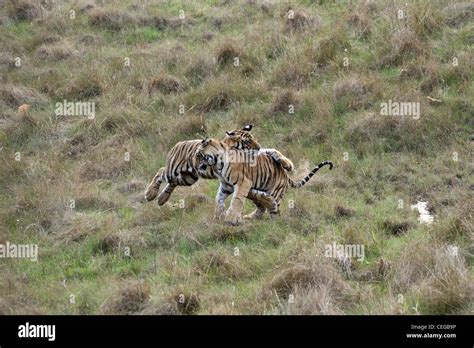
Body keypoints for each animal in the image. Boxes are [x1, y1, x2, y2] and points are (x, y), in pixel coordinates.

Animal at [143, 125, 292, 212]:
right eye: (248, 141)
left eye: (253, 138)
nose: (258, 147)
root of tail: (178, 142)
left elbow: (272, 150)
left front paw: (288, 164)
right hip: (173, 170)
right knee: (161, 171)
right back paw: (150, 194)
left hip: (188, 178)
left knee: (172, 182)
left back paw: (162, 199)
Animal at [194, 138, 332, 226]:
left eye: (198, 155)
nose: (195, 167)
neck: (217, 164)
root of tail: (286, 176)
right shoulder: (226, 186)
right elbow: (218, 198)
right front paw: (218, 215)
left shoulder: (242, 182)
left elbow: (236, 200)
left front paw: (230, 218)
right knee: (261, 206)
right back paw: (250, 216)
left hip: (275, 191)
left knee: (274, 212)